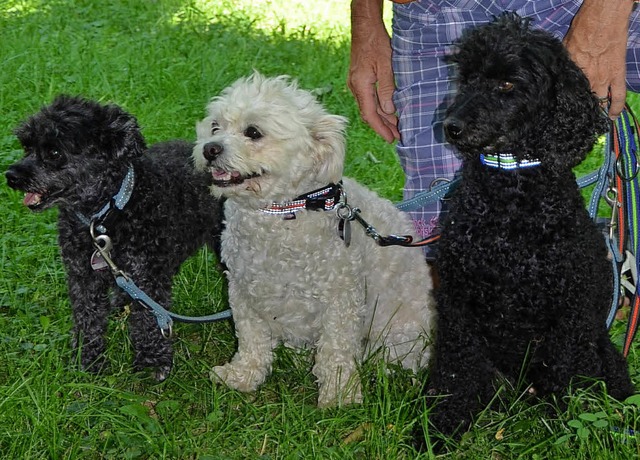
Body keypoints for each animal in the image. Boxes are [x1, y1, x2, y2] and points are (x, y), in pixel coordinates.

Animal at [5, 97, 222, 380]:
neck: (107, 213)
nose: (11, 176)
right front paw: (87, 361)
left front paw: (151, 360)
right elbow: (88, 318)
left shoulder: (146, 275)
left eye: (54, 153)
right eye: (27, 146)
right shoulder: (83, 277)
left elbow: (148, 318)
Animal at [192, 73, 438, 406]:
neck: (281, 211)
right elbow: (251, 339)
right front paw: (243, 376)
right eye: (216, 126)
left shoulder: (340, 301)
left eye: (253, 132)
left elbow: (336, 350)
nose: (210, 148)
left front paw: (339, 396)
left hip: (398, 332)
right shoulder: (243, 291)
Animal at [424, 13, 636, 438]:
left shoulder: (569, 311)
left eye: (507, 83)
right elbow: (457, 371)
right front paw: (441, 428)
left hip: (602, 351)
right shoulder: (457, 302)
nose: (452, 127)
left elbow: (562, 372)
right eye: (467, 78)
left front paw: (560, 430)